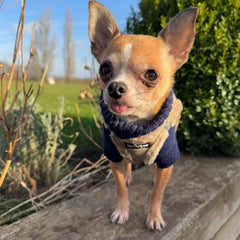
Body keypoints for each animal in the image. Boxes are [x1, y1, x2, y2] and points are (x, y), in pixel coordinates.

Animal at [88, 0, 199, 232]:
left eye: (151, 75)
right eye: (104, 68)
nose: (115, 88)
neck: (136, 127)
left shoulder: (167, 157)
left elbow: (157, 194)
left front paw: (154, 217)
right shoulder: (113, 155)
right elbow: (120, 187)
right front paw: (122, 211)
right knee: (129, 163)